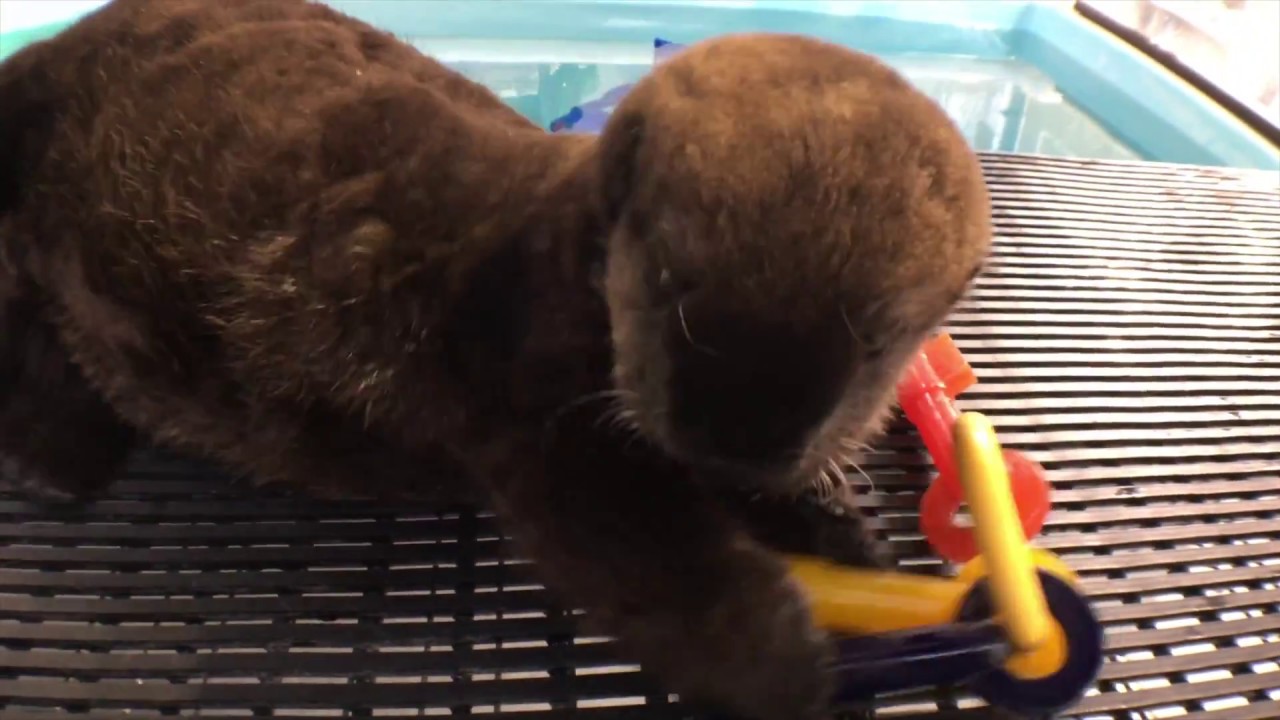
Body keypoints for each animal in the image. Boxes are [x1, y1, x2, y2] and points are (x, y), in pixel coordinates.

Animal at [0, 1, 992, 718]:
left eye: (877, 340)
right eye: (672, 280)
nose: (739, 440)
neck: (565, 246)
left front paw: (843, 531)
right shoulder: (538, 412)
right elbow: (650, 552)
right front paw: (780, 657)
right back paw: (55, 450)